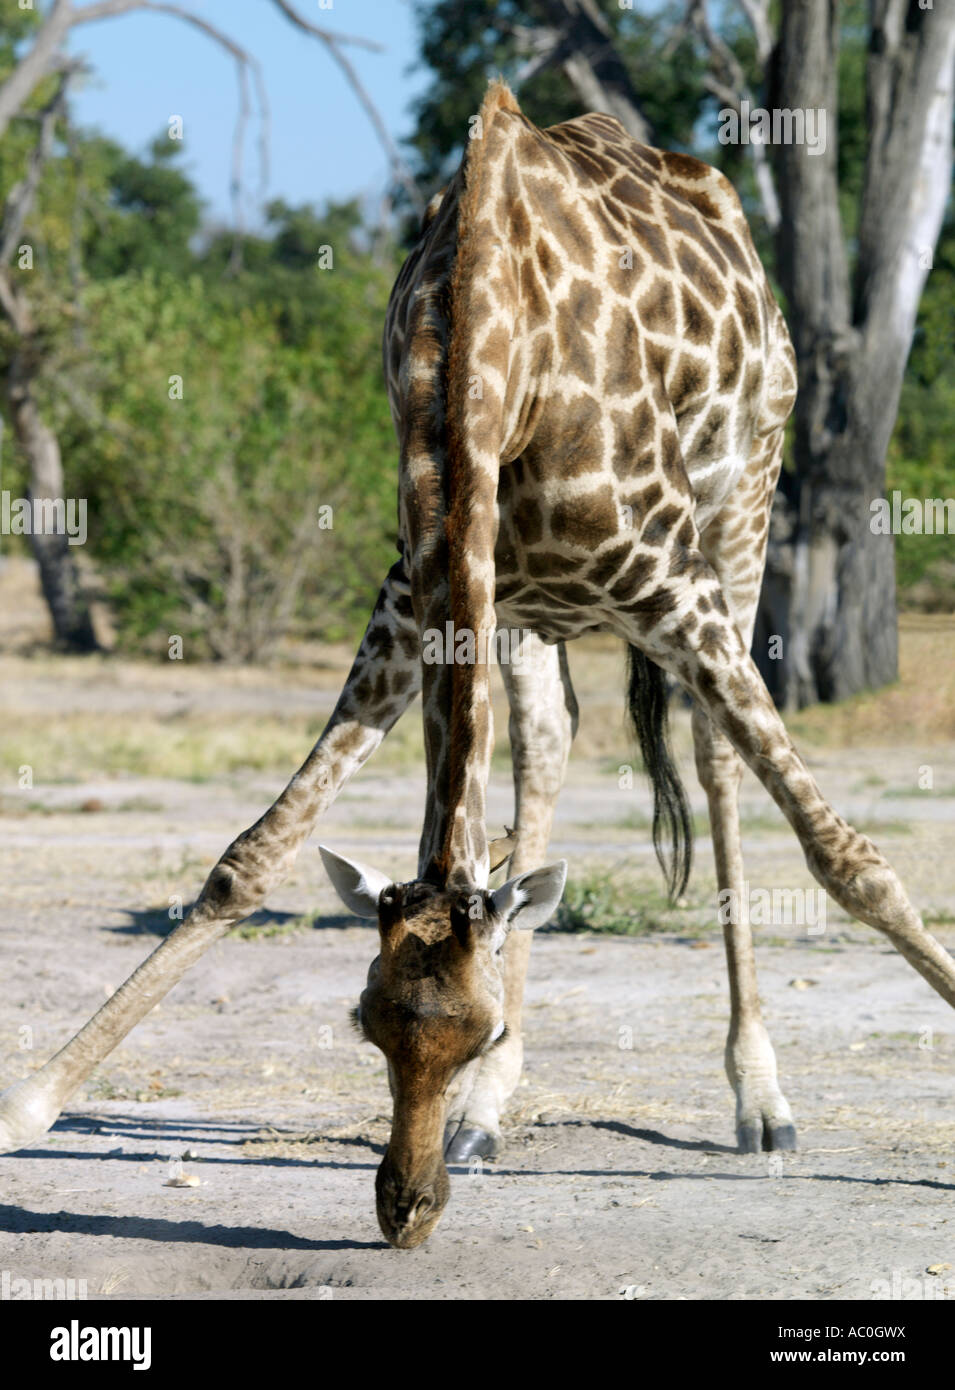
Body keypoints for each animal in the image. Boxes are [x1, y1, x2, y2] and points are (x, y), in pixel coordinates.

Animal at [1, 82, 953, 1253]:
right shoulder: (421, 591)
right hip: (527, 607)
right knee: (546, 750)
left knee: (715, 758)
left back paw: (758, 1098)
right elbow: (252, 856)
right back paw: (494, 1120)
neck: (495, 357)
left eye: (477, 1028)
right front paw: (33, 1098)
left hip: (745, 504)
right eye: (366, 1024)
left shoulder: (672, 587)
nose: (404, 1210)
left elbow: (847, 859)